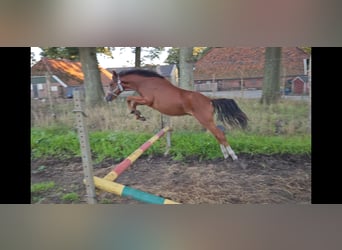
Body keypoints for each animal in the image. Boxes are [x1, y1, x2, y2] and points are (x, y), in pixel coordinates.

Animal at [105, 69, 247, 160]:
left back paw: (233, 156)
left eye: (111, 84)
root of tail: (209, 100)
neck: (146, 83)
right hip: (208, 122)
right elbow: (131, 101)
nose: (107, 98)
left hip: (205, 120)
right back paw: (225, 155)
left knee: (219, 134)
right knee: (218, 134)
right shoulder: (146, 101)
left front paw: (137, 114)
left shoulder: (148, 100)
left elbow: (130, 99)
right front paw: (138, 115)